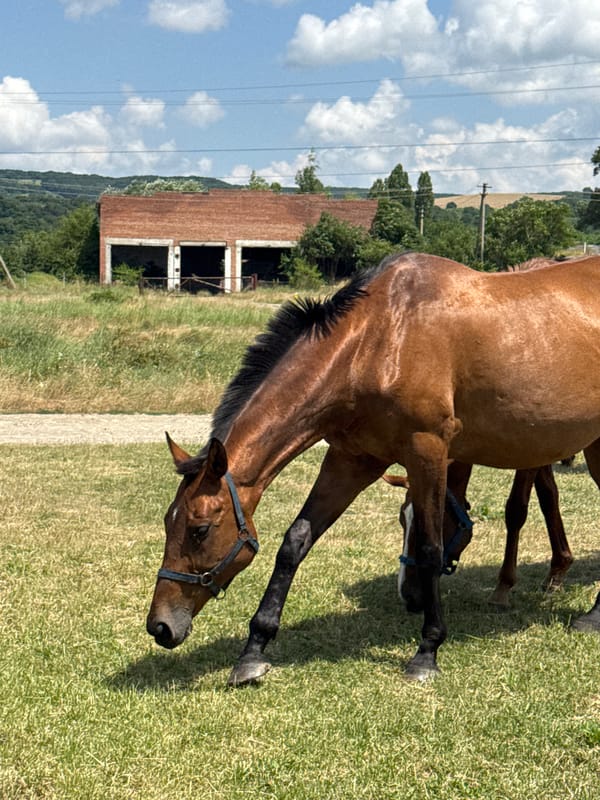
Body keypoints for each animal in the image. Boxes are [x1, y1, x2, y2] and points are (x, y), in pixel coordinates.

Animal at [384, 461, 573, 607]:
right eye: (402, 519)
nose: (407, 594)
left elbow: (516, 510)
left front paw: (503, 587)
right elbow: (548, 496)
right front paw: (559, 568)